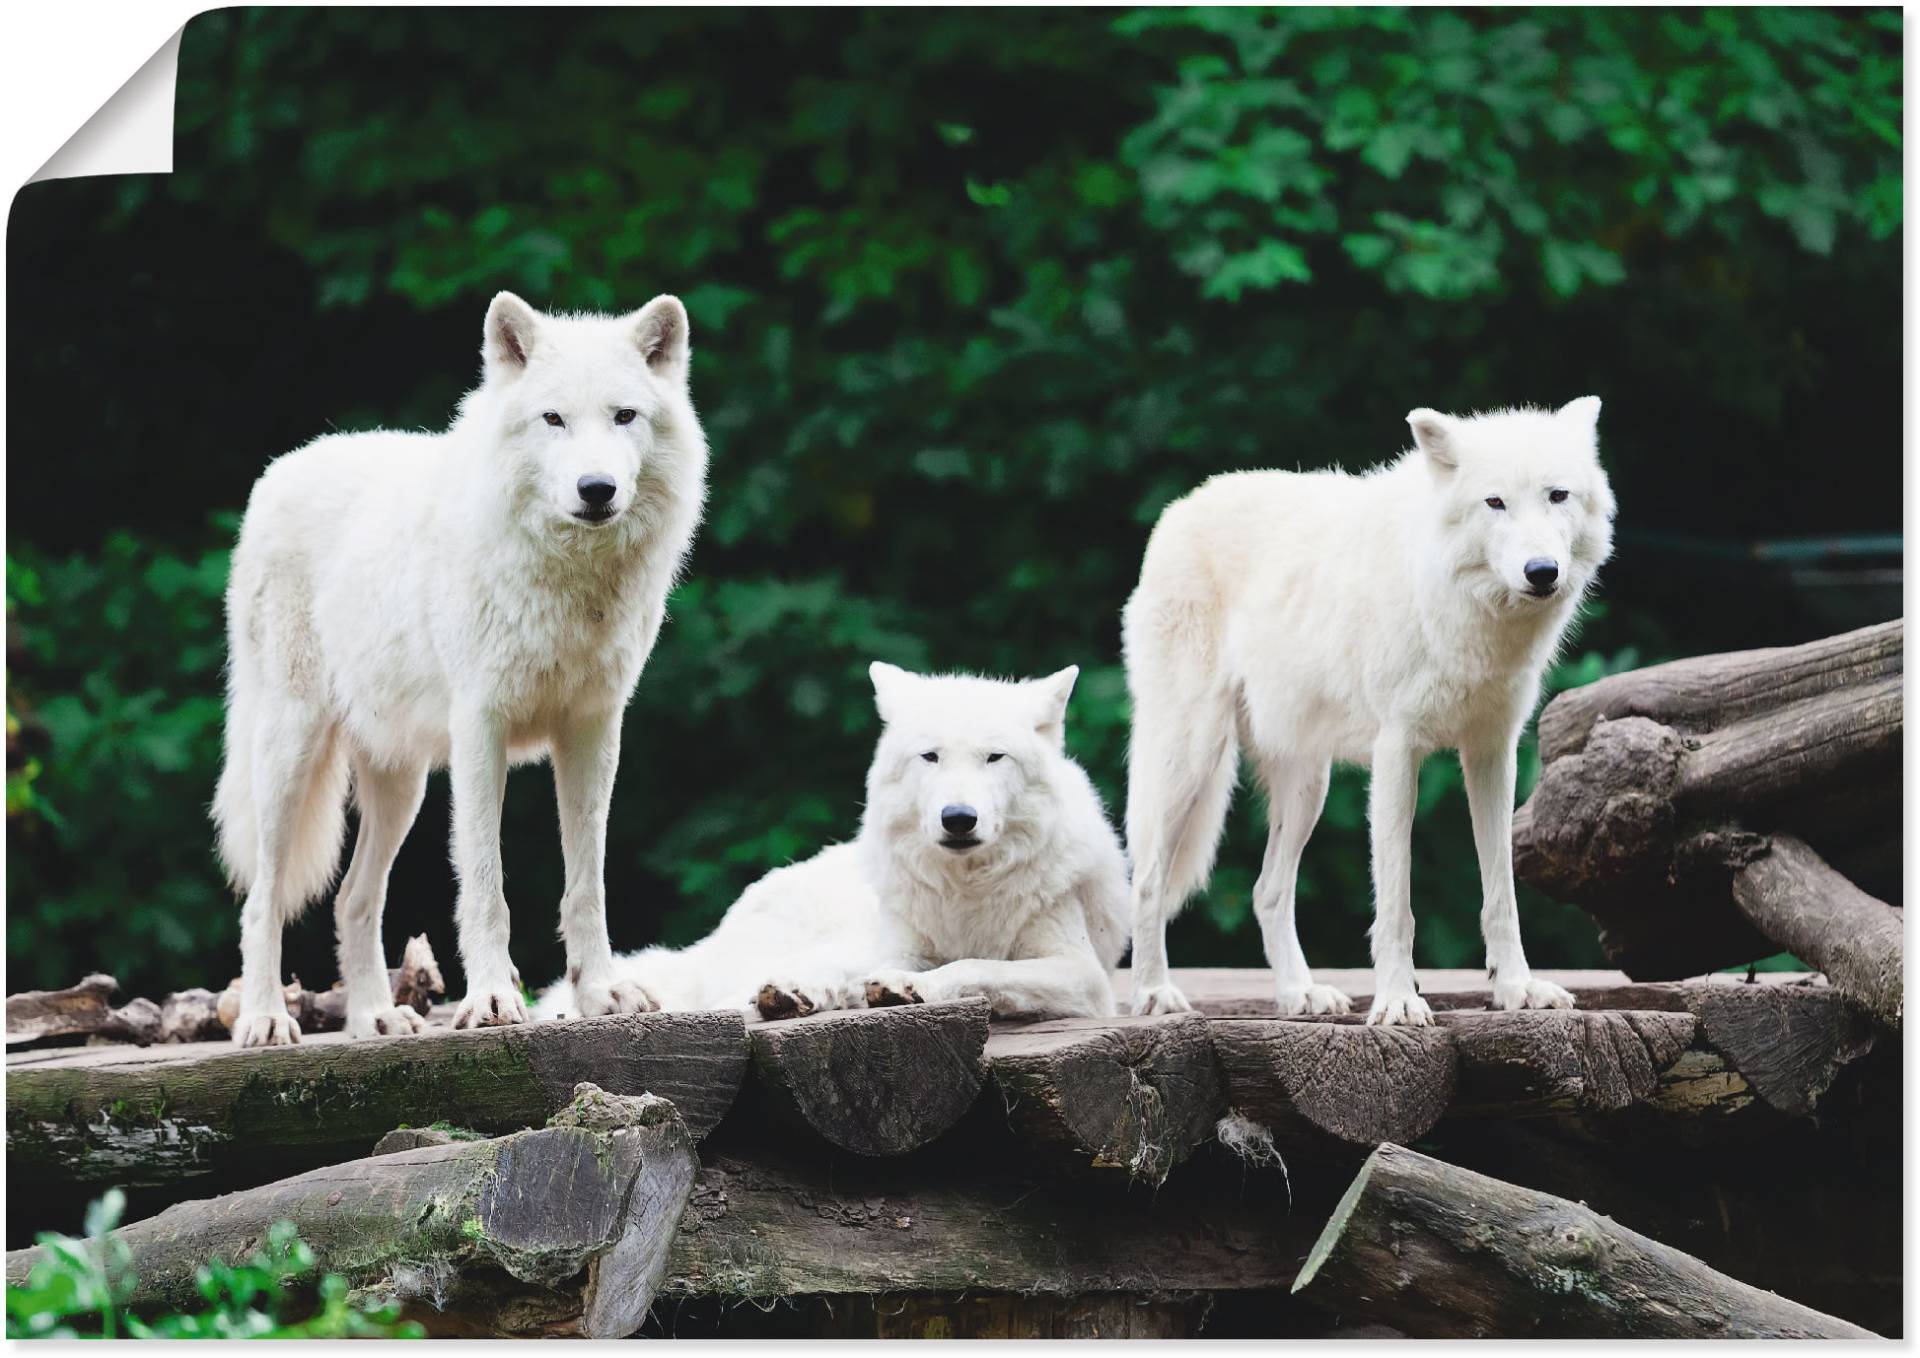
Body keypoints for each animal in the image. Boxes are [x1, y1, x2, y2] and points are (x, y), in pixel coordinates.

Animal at [217, 291, 710, 1044]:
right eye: (554, 419)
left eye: (624, 416)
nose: (596, 488)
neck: (568, 581)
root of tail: (280, 470)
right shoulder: (482, 729)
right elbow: (484, 882)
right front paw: (492, 1000)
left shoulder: (593, 730)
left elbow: (586, 883)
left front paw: (601, 993)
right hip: (289, 756)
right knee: (262, 899)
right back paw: (266, 1019)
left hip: (402, 785)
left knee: (353, 899)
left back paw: (376, 1018)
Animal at [533, 664, 1128, 1021]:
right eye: (931, 756)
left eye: (994, 758)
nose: (958, 819)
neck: (967, 894)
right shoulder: (901, 944)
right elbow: (922, 966)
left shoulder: (1080, 974)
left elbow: (978, 969)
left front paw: (909, 987)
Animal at [1121, 397, 1620, 1021]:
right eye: (1495, 502)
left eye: (1557, 495)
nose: (1542, 571)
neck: (1459, 611)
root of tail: (1181, 508)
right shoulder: (1397, 751)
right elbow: (1396, 906)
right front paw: (1399, 1002)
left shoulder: (1492, 752)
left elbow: (1501, 894)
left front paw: (1516, 989)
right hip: (1191, 758)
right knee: (1147, 880)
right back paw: (1152, 993)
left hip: (1307, 786)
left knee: (1267, 890)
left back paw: (1301, 994)